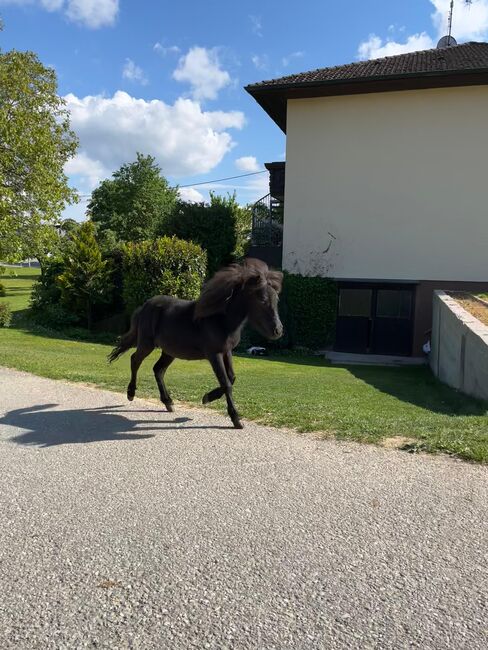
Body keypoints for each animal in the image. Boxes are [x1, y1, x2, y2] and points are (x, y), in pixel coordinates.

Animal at [108, 258, 283, 429]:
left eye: (277, 299)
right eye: (262, 299)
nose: (278, 330)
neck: (221, 321)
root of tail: (144, 306)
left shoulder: (226, 351)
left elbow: (232, 378)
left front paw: (207, 398)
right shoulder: (214, 354)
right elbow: (226, 383)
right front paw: (235, 419)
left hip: (169, 351)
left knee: (158, 369)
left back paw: (168, 402)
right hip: (147, 344)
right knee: (135, 360)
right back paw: (131, 393)